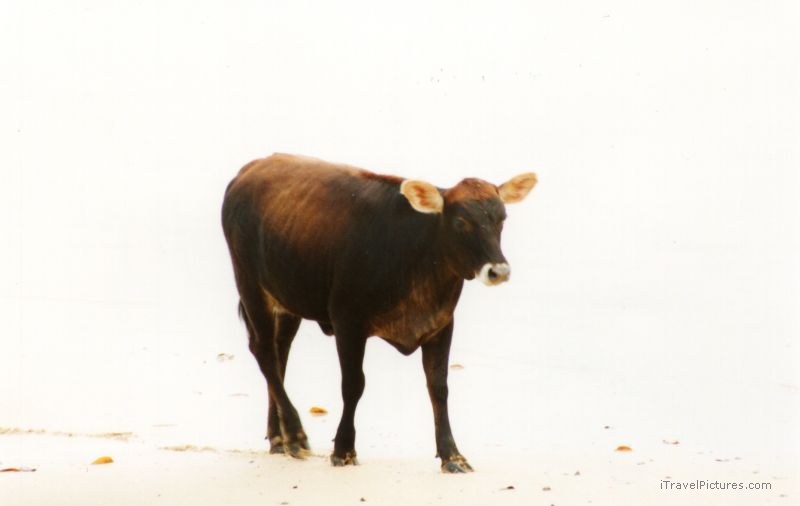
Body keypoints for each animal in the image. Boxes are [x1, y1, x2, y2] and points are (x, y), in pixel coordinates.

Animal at [221, 153, 536, 473]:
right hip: (250, 283)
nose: (498, 271)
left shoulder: (441, 324)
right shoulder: (347, 322)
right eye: (461, 222)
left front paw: (452, 455)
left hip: (287, 298)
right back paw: (295, 435)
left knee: (279, 352)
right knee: (264, 351)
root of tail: (251, 168)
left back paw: (278, 436)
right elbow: (353, 385)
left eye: (501, 219)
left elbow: (439, 387)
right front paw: (344, 449)